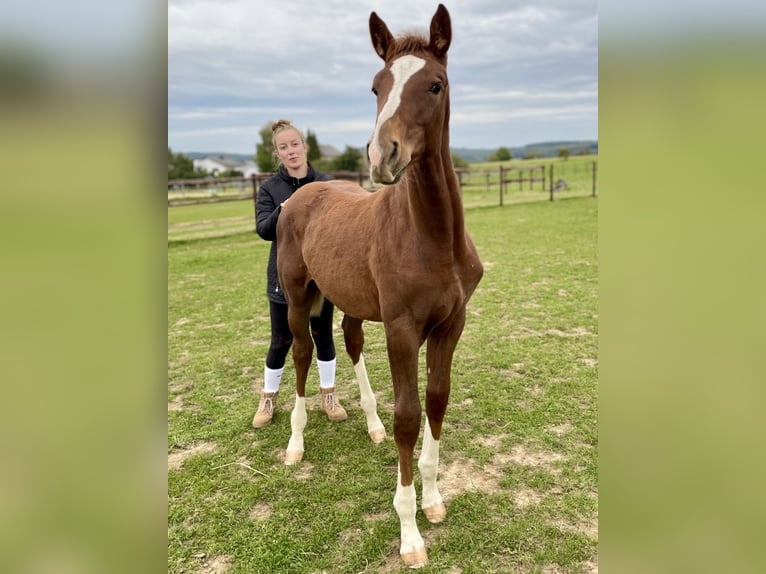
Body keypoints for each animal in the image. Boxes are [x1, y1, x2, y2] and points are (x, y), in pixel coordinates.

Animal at [276, 4, 483, 568]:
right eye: (376, 86)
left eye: (435, 84)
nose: (382, 156)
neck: (432, 236)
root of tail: (300, 195)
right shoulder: (402, 327)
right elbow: (408, 416)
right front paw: (410, 534)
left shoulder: (450, 324)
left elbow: (437, 401)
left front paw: (433, 500)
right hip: (298, 297)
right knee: (302, 353)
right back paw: (295, 444)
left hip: (346, 299)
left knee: (347, 341)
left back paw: (370, 426)